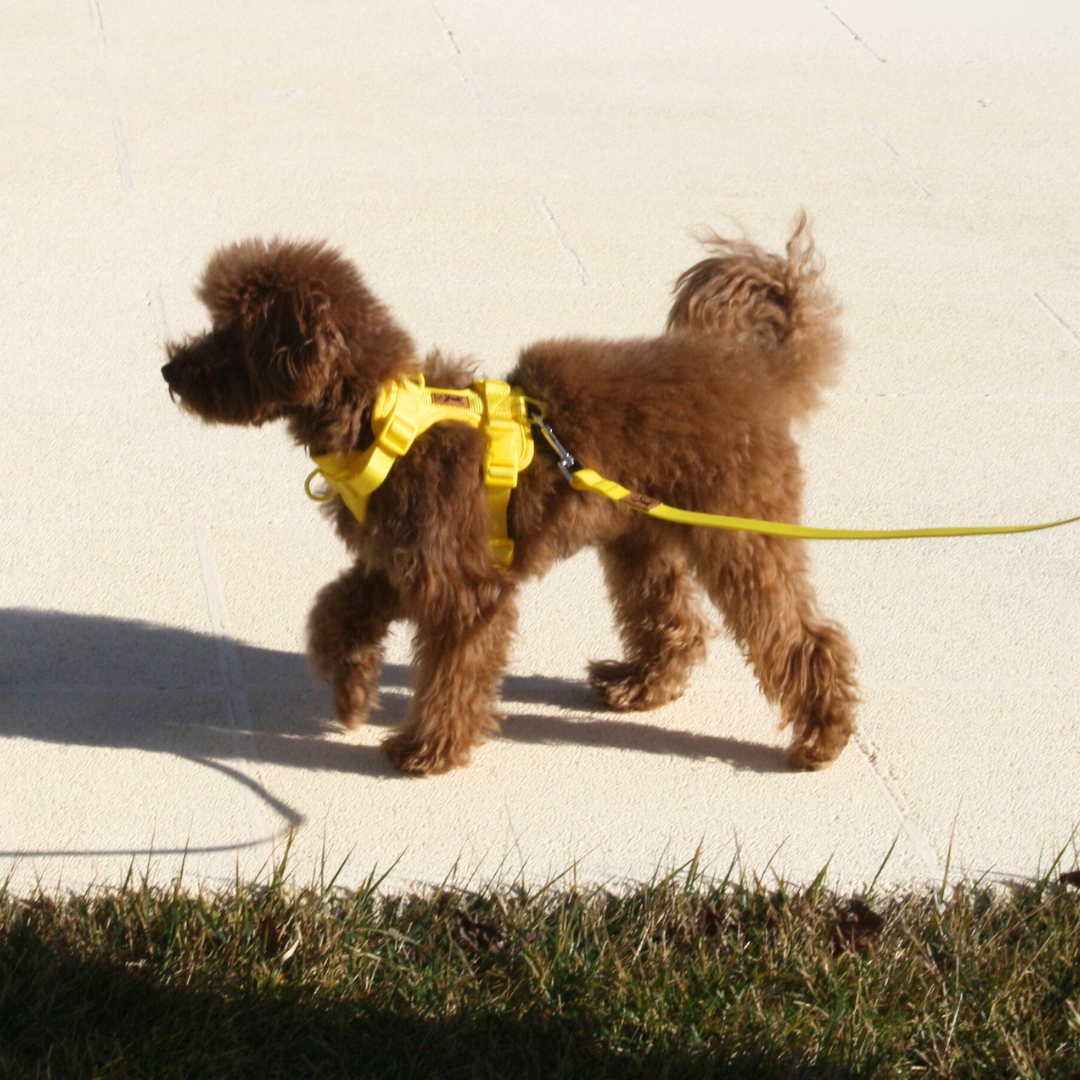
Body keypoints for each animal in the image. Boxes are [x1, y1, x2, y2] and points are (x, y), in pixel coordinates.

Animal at [159, 217, 855, 777]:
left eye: (231, 334)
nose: (169, 369)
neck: (381, 419)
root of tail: (750, 371)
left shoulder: (463, 587)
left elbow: (453, 674)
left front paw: (428, 749)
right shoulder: (400, 562)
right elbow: (335, 610)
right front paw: (351, 692)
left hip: (739, 532)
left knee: (803, 637)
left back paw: (822, 736)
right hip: (640, 537)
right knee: (677, 622)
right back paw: (639, 685)